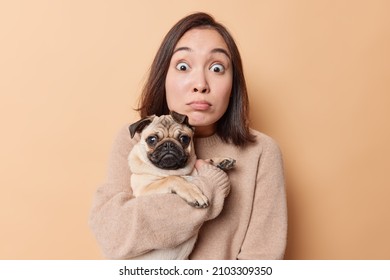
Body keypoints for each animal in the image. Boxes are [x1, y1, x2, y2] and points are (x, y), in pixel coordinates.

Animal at [127, 110, 235, 260]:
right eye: (152, 140)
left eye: (184, 139)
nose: (168, 144)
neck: (172, 169)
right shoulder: (143, 190)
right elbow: (174, 179)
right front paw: (194, 194)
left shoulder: (193, 171)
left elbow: (201, 162)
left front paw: (220, 161)